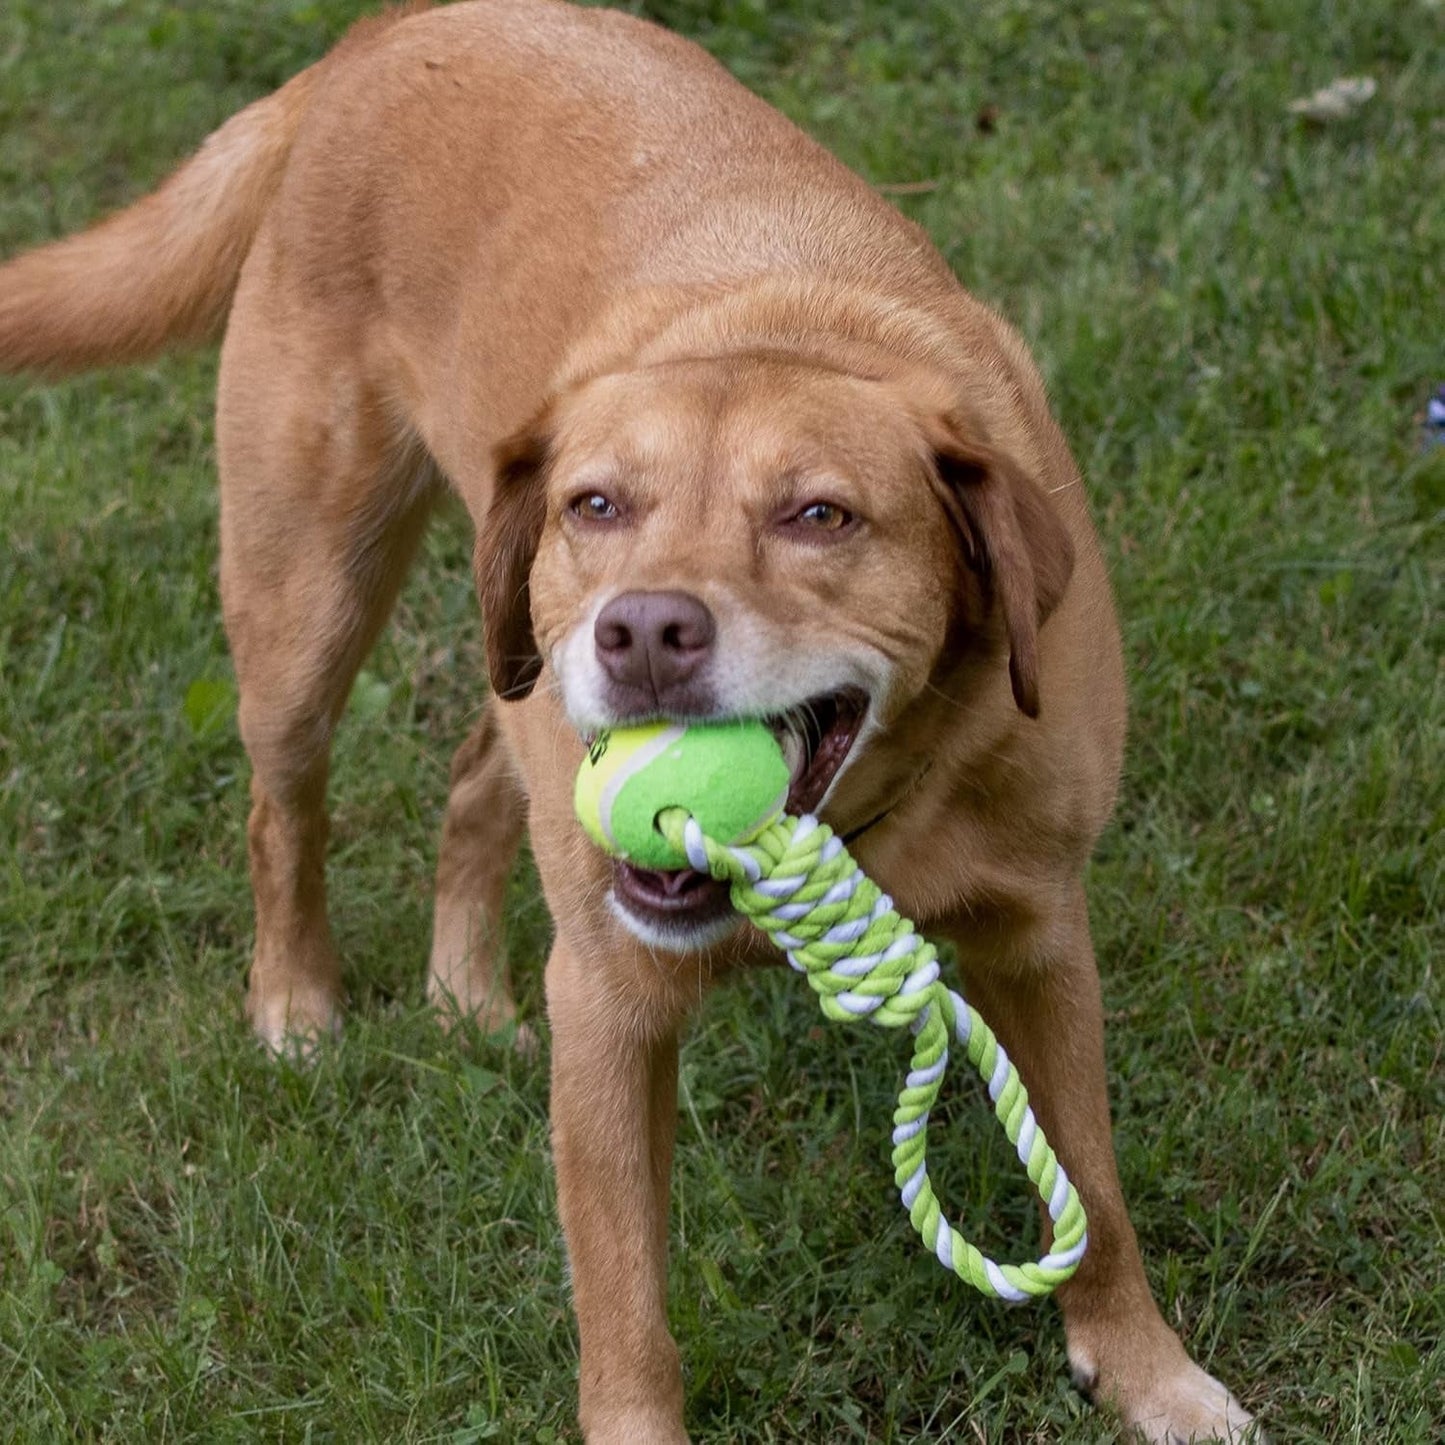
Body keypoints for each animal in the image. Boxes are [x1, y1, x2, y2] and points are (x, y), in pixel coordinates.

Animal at [0, 2, 1260, 1445]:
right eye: (597, 503)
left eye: (819, 514)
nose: (643, 632)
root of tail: (383, 33)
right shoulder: (609, 1006)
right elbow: (624, 1307)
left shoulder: (1042, 941)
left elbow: (1093, 1193)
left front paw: (1150, 1372)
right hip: (308, 610)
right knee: (284, 813)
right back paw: (299, 1005)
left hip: (513, 672)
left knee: (471, 777)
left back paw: (462, 991)